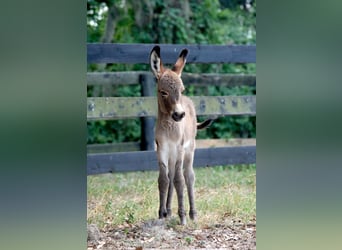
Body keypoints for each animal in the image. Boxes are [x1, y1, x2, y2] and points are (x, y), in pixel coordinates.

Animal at [150, 46, 214, 225]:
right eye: (163, 92)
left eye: (181, 90)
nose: (179, 114)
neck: (169, 127)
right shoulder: (161, 149)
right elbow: (163, 180)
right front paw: (161, 214)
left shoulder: (179, 149)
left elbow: (180, 181)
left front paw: (183, 216)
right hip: (172, 156)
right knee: (171, 177)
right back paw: (168, 211)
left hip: (189, 150)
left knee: (188, 177)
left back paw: (193, 214)